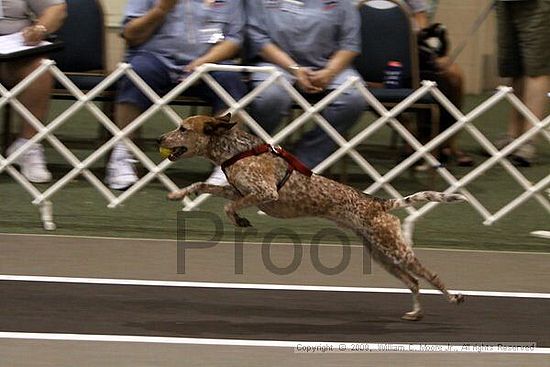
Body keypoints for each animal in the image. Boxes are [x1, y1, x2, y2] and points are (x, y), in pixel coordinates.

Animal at [162, 113, 468, 320]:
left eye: (183, 128)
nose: (159, 139)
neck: (236, 150)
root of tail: (380, 203)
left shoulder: (263, 193)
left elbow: (230, 208)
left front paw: (240, 221)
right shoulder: (234, 189)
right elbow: (201, 186)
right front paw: (178, 194)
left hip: (397, 251)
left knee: (430, 276)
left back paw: (454, 297)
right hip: (381, 255)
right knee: (413, 282)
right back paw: (416, 313)